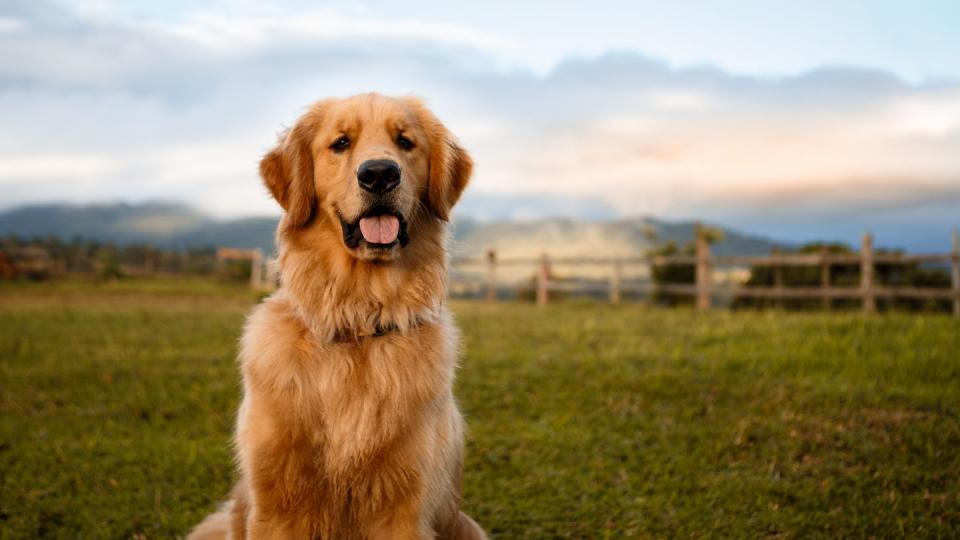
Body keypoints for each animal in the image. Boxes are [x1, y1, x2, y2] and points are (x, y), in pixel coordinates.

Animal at [186, 95, 488, 536]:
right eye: (341, 143)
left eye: (405, 142)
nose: (379, 174)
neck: (357, 321)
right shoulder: (277, 503)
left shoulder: (404, 506)